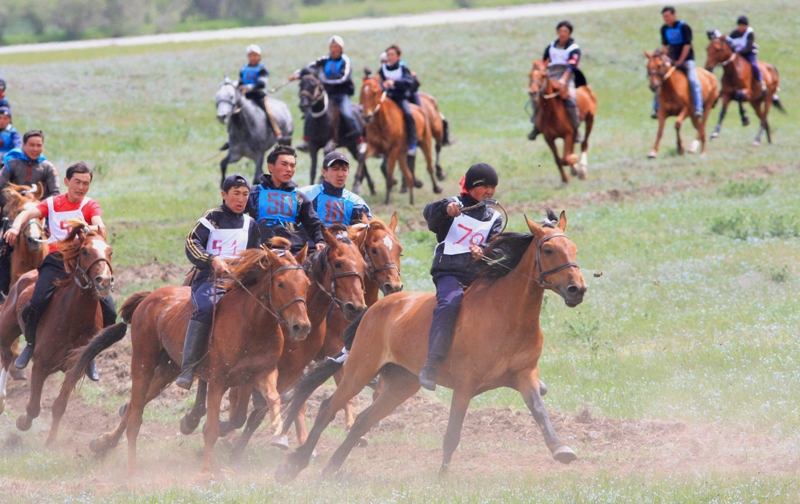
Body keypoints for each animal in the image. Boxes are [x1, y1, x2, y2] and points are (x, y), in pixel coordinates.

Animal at [61, 242, 312, 474]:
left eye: (307, 283)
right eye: (280, 283)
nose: (301, 327)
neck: (251, 324)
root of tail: (150, 297)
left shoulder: (264, 374)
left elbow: (274, 398)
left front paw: (278, 435)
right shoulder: (218, 382)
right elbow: (211, 430)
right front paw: (205, 472)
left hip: (168, 369)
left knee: (134, 406)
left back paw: (103, 443)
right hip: (143, 362)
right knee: (135, 411)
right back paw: (128, 466)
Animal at [177, 226, 370, 454]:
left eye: (363, 265)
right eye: (339, 263)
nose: (355, 307)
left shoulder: (289, 371)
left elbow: (263, 411)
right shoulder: (252, 370)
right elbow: (240, 413)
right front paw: (224, 430)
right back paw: (192, 419)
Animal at [276, 212, 588, 480]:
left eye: (573, 248)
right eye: (549, 250)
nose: (577, 289)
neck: (507, 315)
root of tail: (373, 309)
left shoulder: (525, 376)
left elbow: (540, 412)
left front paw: (561, 449)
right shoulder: (465, 385)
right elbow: (452, 432)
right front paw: (442, 476)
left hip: (401, 383)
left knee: (364, 420)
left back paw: (330, 469)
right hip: (360, 369)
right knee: (328, 408)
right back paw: (295, 465)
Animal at [360, 69, 440, 205]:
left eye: (374, 92)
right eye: (361, 92)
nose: (366, 116)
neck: (382, 122)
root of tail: (421, 110)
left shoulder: (393, 150)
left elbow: (389, 175)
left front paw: (387, 201)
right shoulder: (374, 147)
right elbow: (362, 158)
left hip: (425, 143)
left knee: (429, 167)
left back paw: (436, 188)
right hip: (402, 154)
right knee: (409, 176)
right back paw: (411, 200)